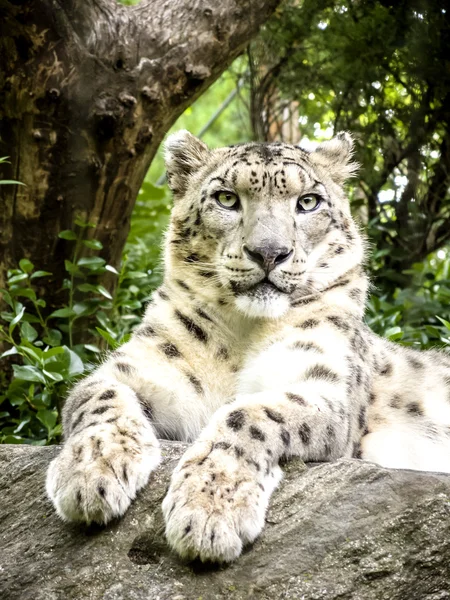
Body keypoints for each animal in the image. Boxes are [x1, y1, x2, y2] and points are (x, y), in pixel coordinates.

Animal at [46, 130, 450, 564]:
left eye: (309, 201)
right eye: (226, 198)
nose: (270, 252)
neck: (240, 337)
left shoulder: (326, 388)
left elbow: (251, 413)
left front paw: (208, 509)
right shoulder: (137, 366)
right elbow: (97, 395)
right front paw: (90, 472)